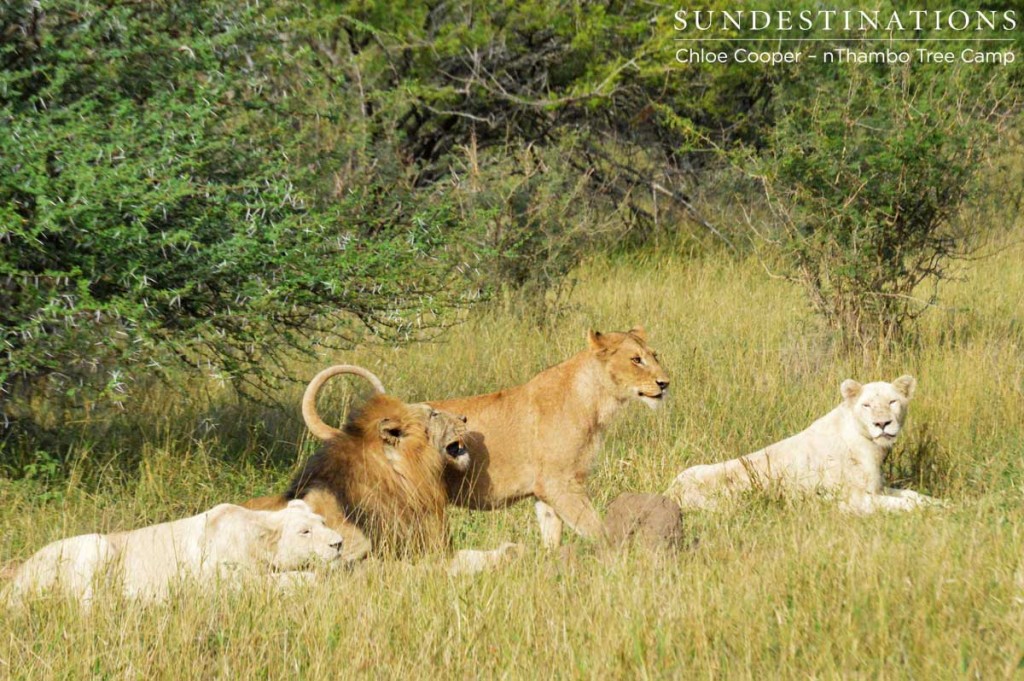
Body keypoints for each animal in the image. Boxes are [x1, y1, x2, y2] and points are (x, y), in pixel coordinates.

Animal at [4, 497, 344, 602]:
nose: (338, 543)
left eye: (323, 522)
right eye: (305, 531)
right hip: (96, 544)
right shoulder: (222, 581)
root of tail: (17, 575)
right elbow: (297, 579)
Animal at [663, 374, 942, 512]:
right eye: (867, 405)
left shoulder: (878, 488)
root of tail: (669, 493)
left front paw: (944, 503)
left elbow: (914, 495)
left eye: (893, 401)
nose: (882, 424)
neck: (870, 447)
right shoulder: (850, 500)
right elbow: (904, 504)